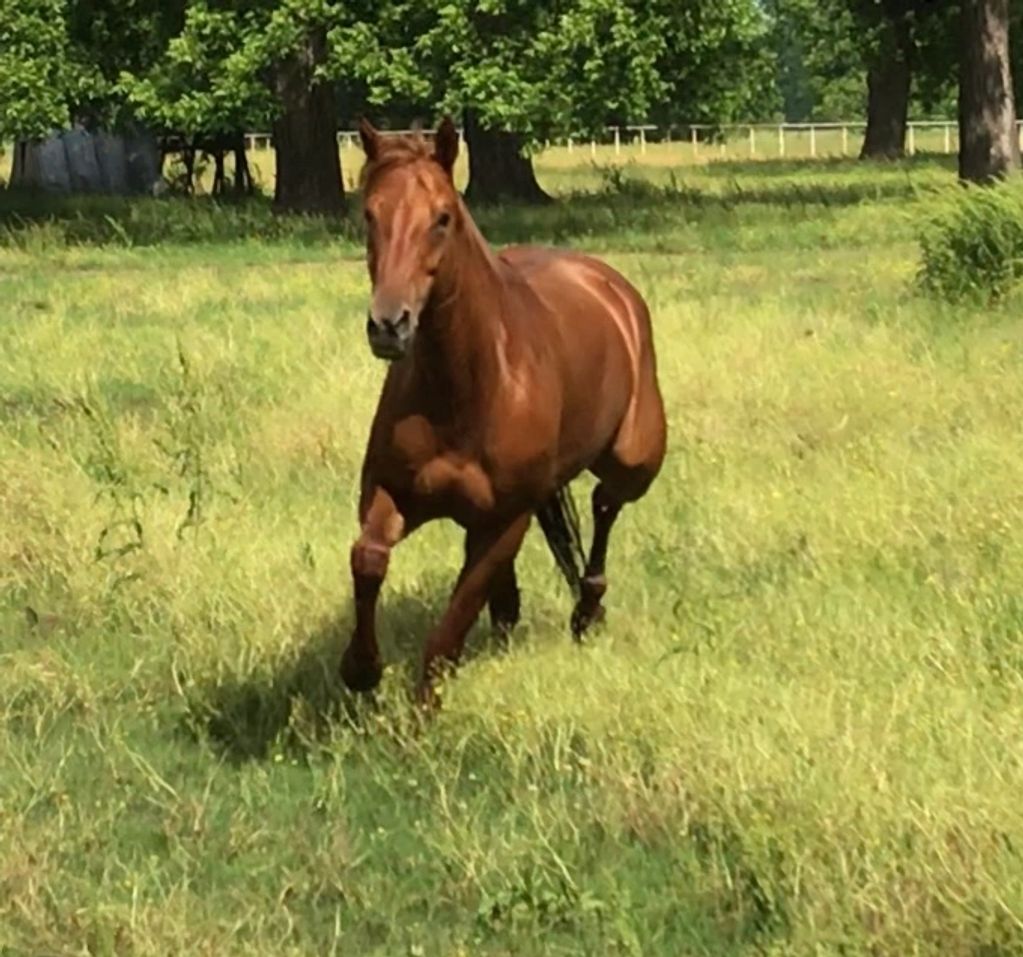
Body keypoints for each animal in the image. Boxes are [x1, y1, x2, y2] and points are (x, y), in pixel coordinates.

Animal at [340, 117, 667, 707]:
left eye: (442, 218)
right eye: (370, 214)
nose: (389, 326)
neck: (467, 388)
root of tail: (610, 287)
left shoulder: (504, 521)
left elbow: (450, 629)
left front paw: (421, 712)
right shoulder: (389, 492)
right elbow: (369, 559)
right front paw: (361, 668)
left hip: (635, 460)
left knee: (606, 505)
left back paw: (588, 609)